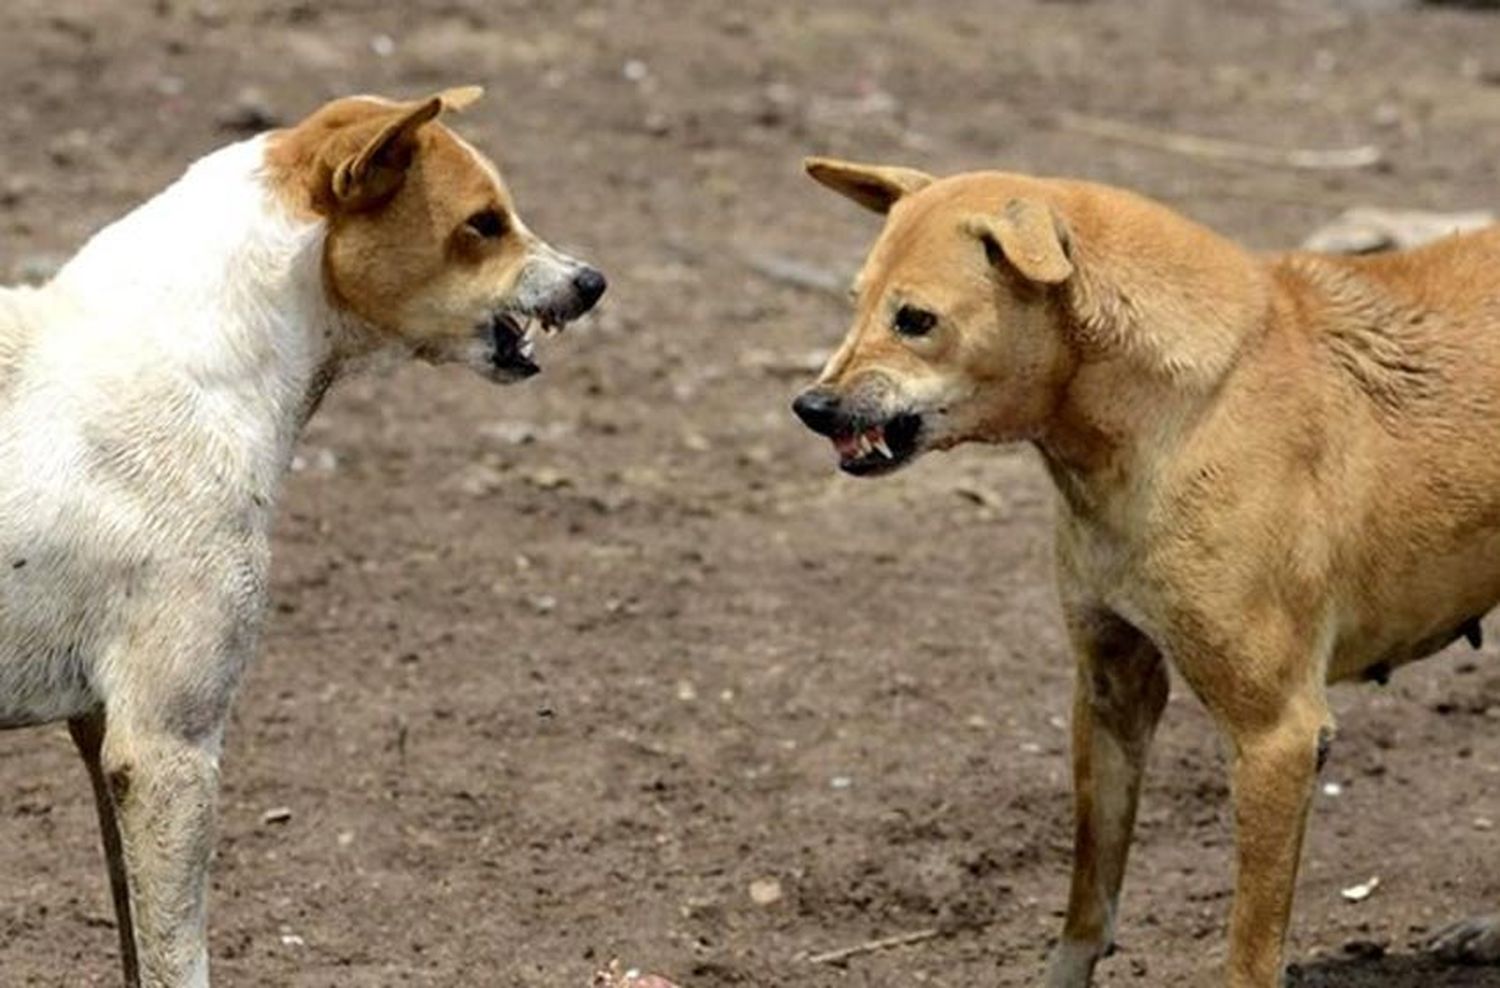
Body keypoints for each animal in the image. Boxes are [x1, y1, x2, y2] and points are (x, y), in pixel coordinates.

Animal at [1, 88, 597, 983]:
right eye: (484, 223)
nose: (592, 282)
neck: (187, 363)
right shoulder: (166, 749)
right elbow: (178, 956)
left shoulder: (101, 733)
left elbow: (134, 940)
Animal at [792, 158, 1494, 983]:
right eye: (857, 302)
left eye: (916, 320)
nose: (811, 406)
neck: (1173, 412)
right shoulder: (1110, 689)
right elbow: (1088, 897)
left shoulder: (1277, 734)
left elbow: (1249, 951)